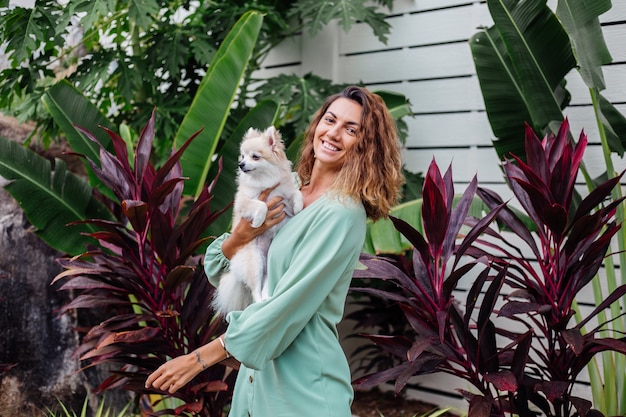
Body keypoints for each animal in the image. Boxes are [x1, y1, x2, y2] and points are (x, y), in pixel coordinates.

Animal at [211, 125, 304, 314]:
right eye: (242, 156)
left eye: (255, 156)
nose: (241, 164)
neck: (264, 181)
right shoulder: (244, 202)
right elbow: (261, 205)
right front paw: (258, 221)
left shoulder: (285, 195)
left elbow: (296, 193)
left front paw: (299, 207)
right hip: (254, 262)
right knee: (255, 290)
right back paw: (260, 302)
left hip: (268, 265)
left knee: (266, 285)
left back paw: (268, 299)